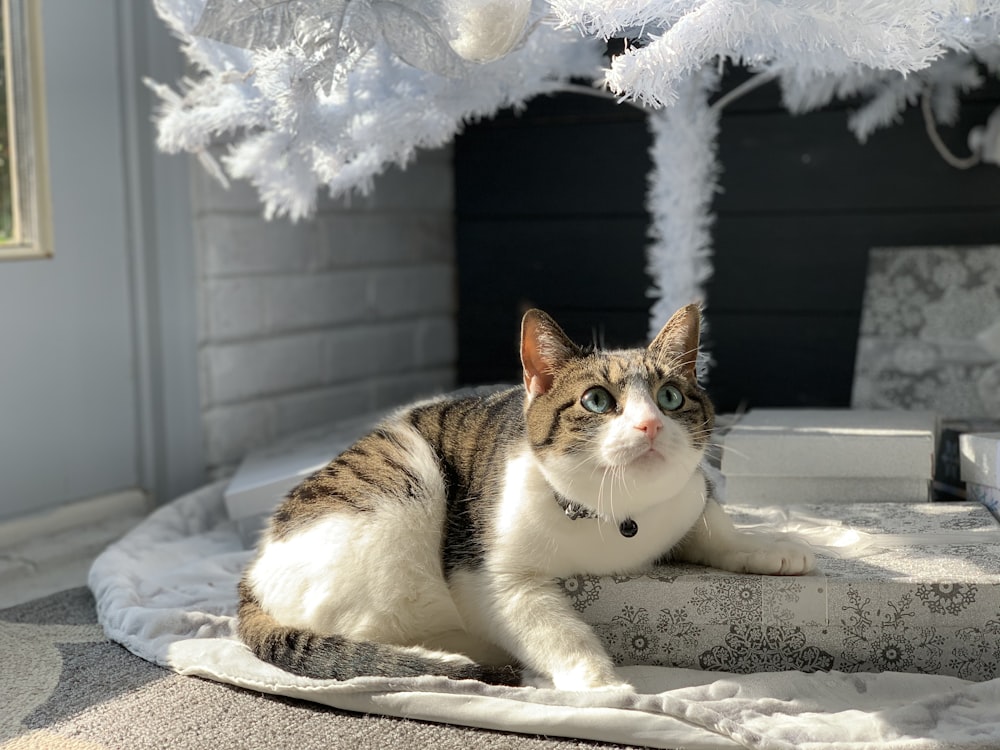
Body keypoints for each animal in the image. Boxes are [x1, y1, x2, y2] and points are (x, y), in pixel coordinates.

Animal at [238, 302, 816, 692]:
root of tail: (253, 575)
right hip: (403, 493)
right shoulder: (491, 578)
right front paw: (601, 682)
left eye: (670, 397)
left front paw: (770, 547)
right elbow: (553, 628)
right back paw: (464, 656)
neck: (616, 517)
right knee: (372, 629)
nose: (650, 424)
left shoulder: (689, 495)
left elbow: (715, 525)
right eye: (597, 400)